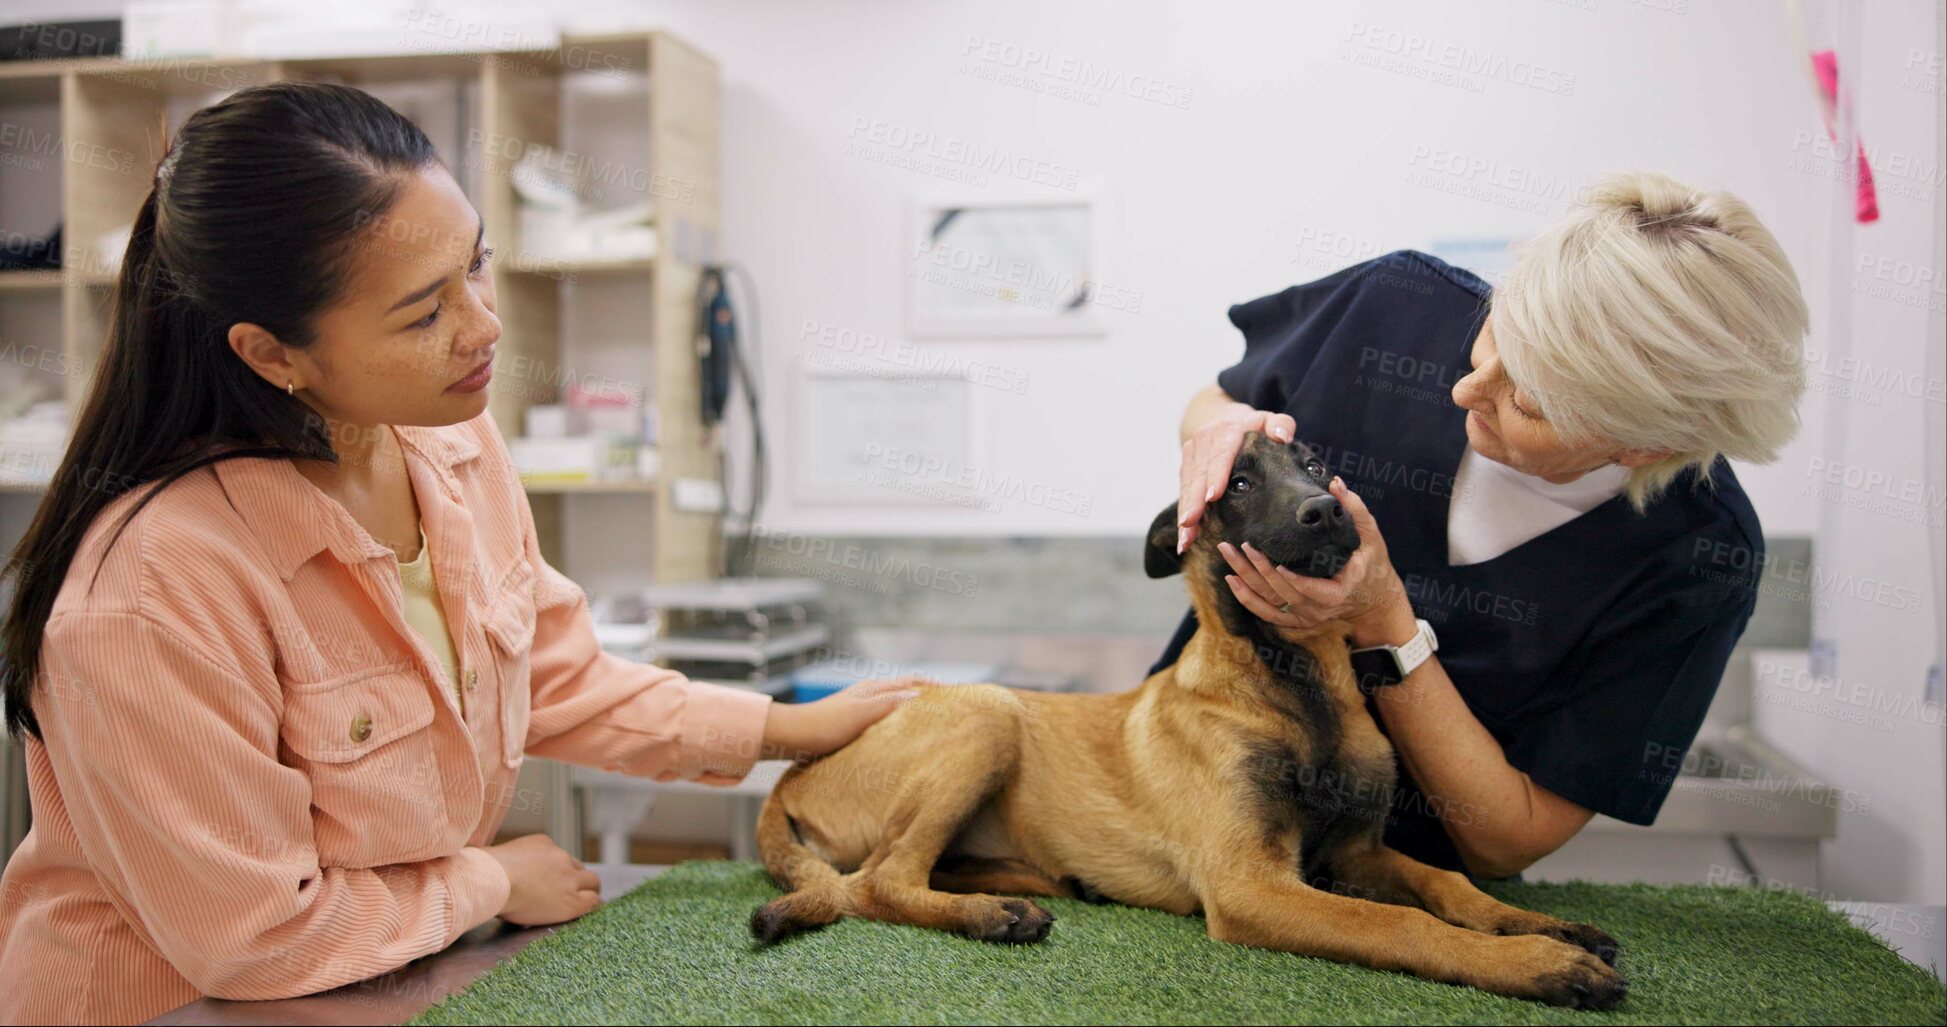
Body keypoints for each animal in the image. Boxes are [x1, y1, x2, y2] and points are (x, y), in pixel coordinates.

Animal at [755, 430, 1627, 1005]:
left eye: (1317, 468)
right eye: (1236, 483)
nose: (1325, 511)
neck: (1292, 684)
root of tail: (791, 776)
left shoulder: (1356, 851)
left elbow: (1446, 880)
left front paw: (1537, 926)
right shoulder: (1250, 884)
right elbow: (1402, 924)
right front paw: (1536, 964)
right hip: (986, 709)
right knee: (878, 881)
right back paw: (989, 914)